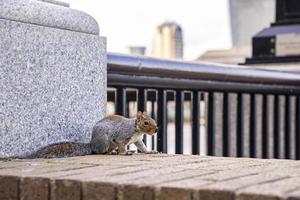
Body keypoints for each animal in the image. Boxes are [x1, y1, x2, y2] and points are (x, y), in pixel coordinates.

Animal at [10, 110, 158, 159]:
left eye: (153, 119)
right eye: (146, 122)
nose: (156, 130)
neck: (136, 129)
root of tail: (92, 144)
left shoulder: (137, 140)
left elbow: (143, 147)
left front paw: (150, 151)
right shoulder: (122, 136)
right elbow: (121, 145)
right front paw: (124, 153)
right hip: (105, 141)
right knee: (102, 152)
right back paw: (112, 153)